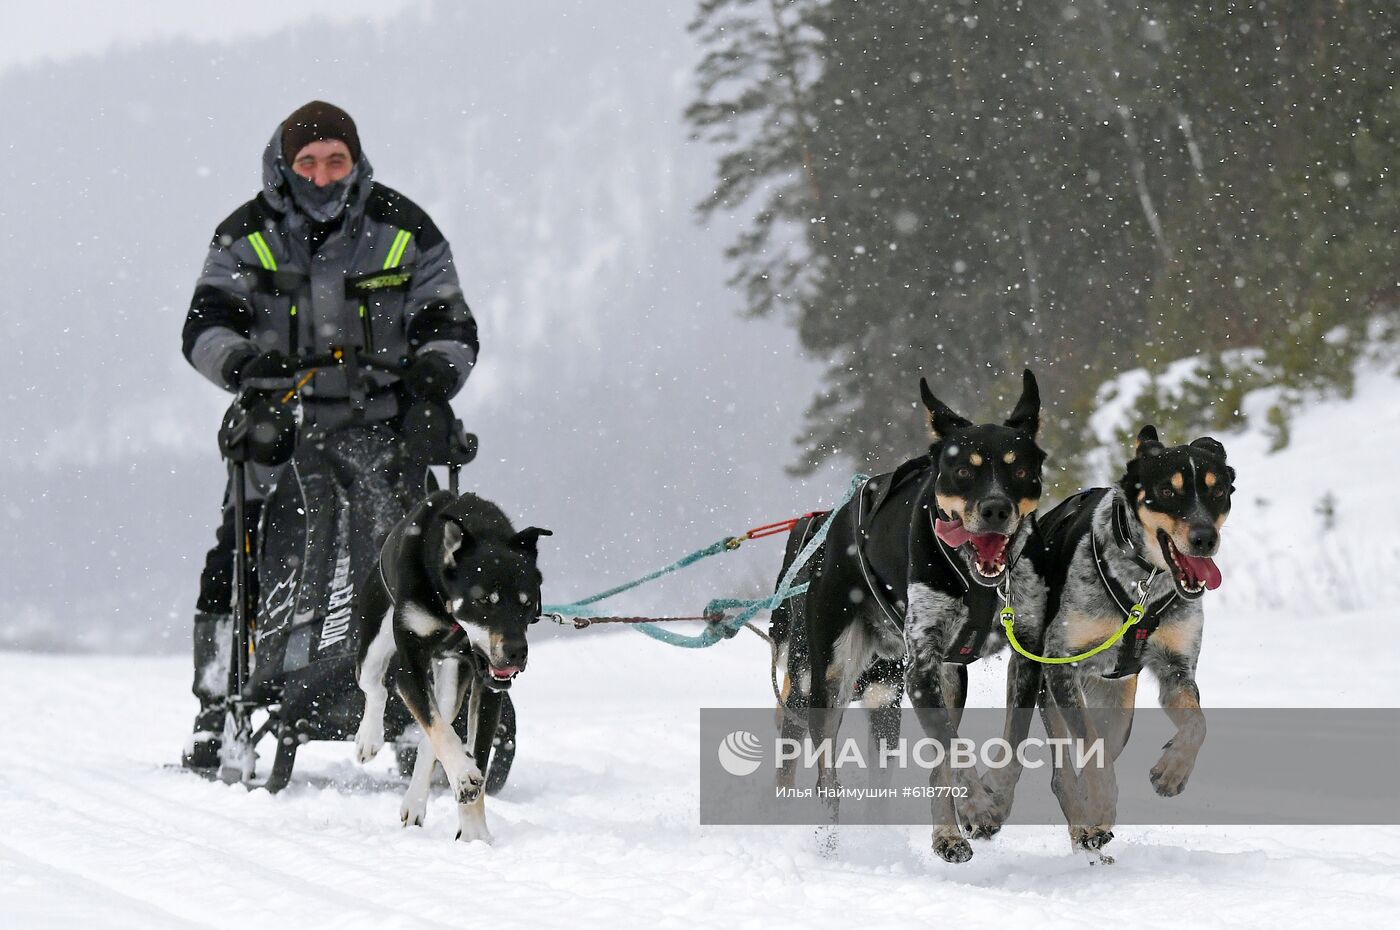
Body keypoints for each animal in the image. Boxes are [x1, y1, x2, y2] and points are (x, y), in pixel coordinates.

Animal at [350, 490, 546, 845]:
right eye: (484, 600)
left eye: (526, 603)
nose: (516, 652)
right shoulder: (410, 668)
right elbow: (438, 728)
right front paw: (465, 775)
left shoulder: (487, 684)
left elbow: (466, 745)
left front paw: (474, 832)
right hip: (373, 642)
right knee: (374, 685)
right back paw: (368, 738)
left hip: (453, 677)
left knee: (433, 732)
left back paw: (415, 801)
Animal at [778, 369, 1052, 862]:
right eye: (964, 470)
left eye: (1019, 469)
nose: (996, 508)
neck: (977, 582)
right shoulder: (920, 667)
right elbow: (955, 752)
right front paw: (978, 805)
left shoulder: (1024, 654)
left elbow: (1010, 746)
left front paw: (989, 806)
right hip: (828, 677)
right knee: (826, 773)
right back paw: (831, 840)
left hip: (945, 678)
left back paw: (947, 832)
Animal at [1036, 425, 1232, 862]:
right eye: (1168, 490)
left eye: (1217, 491)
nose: (1205, 538)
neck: (1145, 583)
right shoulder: (1061, 664)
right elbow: (1091, 749)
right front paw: (1103, 800)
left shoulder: (1177, 670)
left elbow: (1199, 724)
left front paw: (1172, 771)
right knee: (1064, 774)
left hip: (1119, 706)